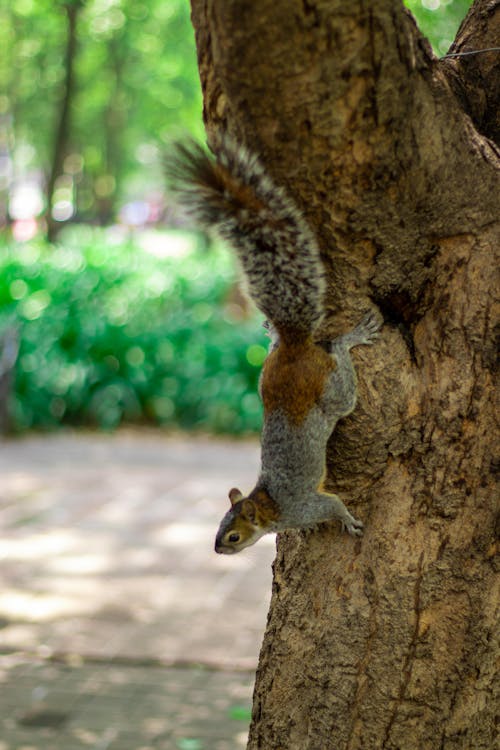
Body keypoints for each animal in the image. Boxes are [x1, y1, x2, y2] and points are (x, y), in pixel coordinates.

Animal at [166, 137, 380, 552]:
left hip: (332, 392)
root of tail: (295, 347)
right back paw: (273, 334)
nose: (217, 548)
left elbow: (333, 505)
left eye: (233, 534)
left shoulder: (306, 505)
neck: (268, 506)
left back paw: (350, 338)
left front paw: (347, 522)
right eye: (220, 525)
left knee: (340, 369)